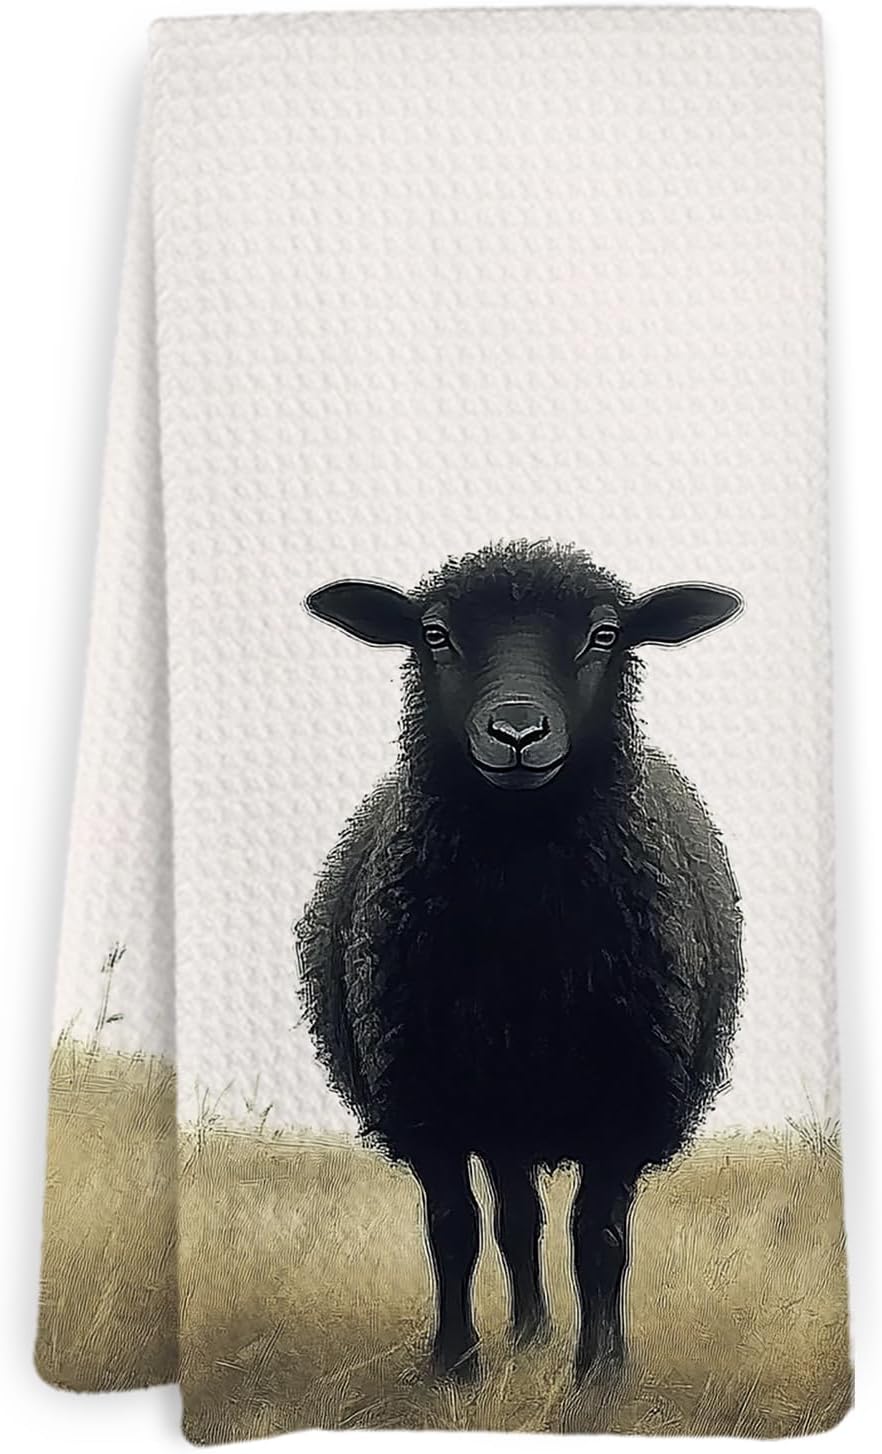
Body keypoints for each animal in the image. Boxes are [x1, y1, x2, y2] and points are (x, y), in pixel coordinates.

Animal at [295, 538, 744, 1383]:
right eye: (434, 634)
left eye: (605, 635)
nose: (515, 731)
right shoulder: (427, 1101)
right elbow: (452, 1230)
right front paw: (454, 1366)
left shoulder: (628, 1101)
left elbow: (601, 1239)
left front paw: (599, 1378)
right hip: (500, 1106)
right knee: (514, 1219)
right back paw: (529, 1333)